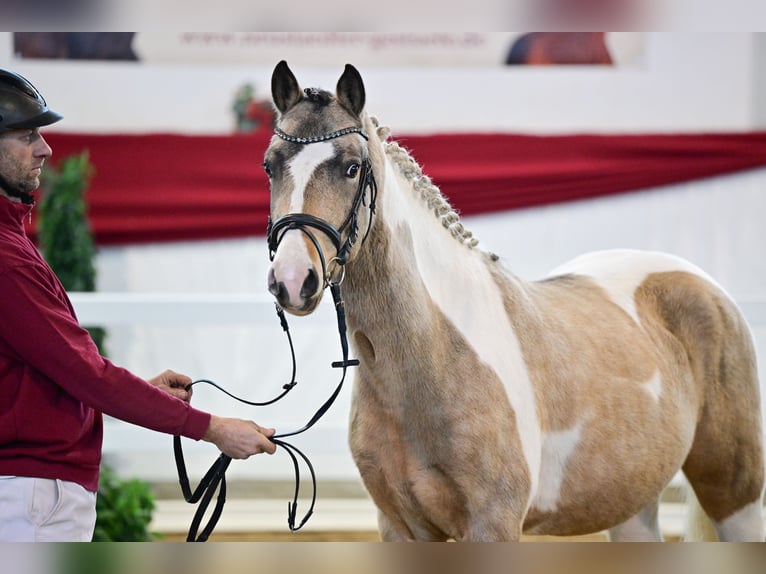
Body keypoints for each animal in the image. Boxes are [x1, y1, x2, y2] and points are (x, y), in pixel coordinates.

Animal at [260, 60, 764, 544]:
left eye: (351, 167)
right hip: (632, 499)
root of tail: (701, 283)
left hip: (736, 496)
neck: (435, 357)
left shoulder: (494, 523)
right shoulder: (401, 526)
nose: (293, 279)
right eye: (269, 166)